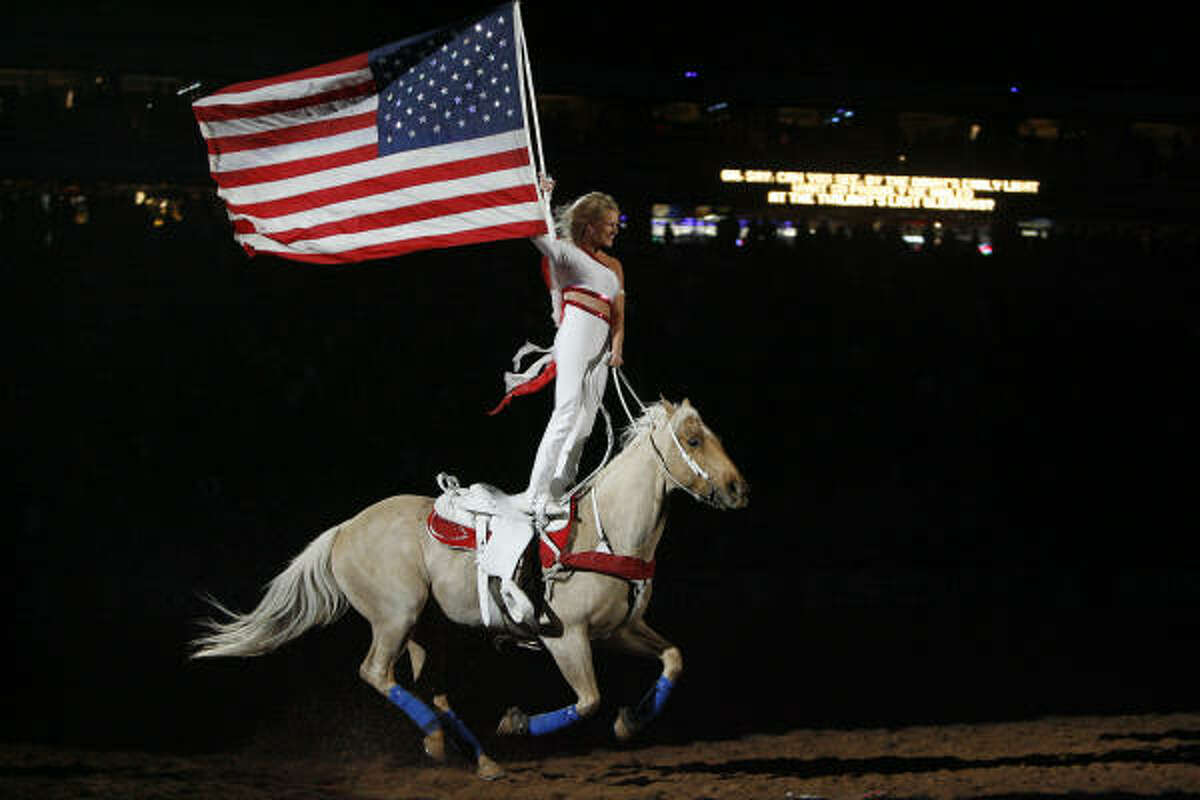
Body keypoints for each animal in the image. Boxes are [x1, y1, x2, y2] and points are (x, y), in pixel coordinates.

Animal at [190, 398, 744, 777]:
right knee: (376, 672)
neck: (602, 533)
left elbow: (673, 658)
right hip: (396, 615)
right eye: (694, 440)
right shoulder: (567, 638)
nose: (738, 487)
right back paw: (440, 740)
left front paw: (632, 721)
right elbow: (588, 700)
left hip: (429, 629)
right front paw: (517, 723)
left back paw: (478, 759)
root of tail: (344, 530)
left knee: (432, 690)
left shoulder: (618, 630)